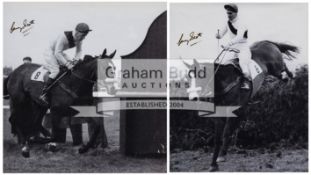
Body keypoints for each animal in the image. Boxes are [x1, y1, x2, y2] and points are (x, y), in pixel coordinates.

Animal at [184, 40, 298, 171]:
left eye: (200, 77)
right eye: (188, 78)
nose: (192, 98)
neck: (225, 82)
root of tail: (267, 42)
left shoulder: (232, 110)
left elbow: (226, 133)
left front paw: (221, 156)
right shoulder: (219, 115)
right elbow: (217, 138)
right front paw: (213, 164)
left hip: (276, 67)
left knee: (283, 66)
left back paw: (292, 75)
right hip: (274, 72)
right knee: (282, 76)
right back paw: (287, 79)